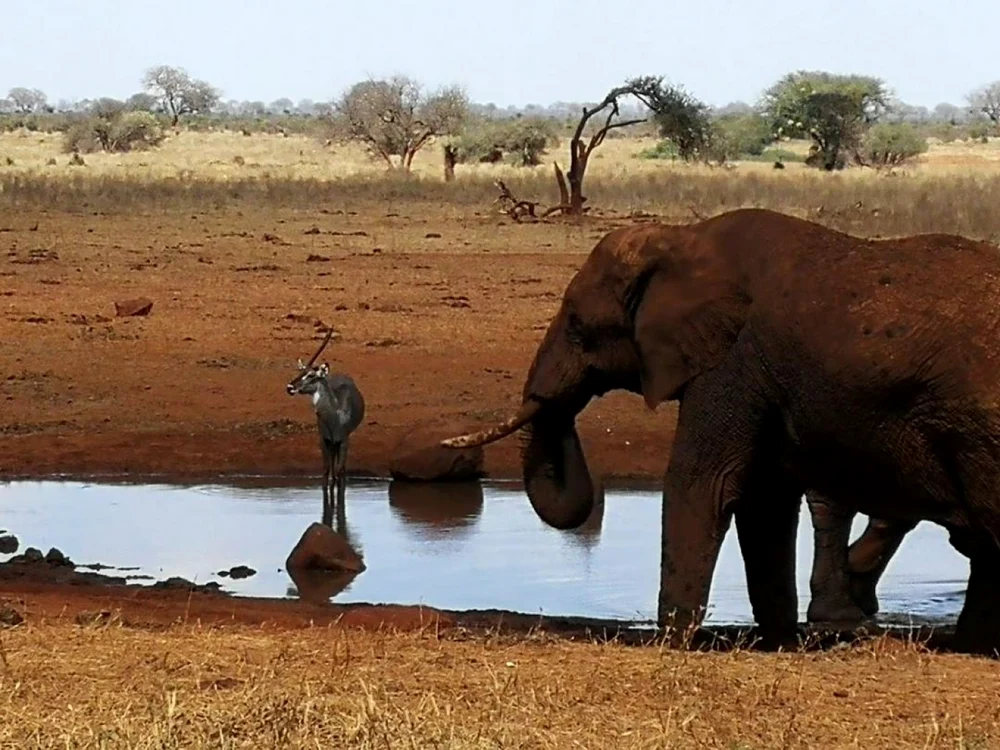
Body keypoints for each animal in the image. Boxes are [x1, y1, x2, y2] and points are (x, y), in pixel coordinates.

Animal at [441, 208, 1000, 654]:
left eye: (578, 327)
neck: (680, 241)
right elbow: (764, 503)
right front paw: (780, 643)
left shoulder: (731, 362)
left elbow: (704, 483)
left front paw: (671, 642)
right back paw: (970, 645)